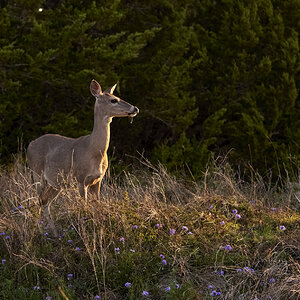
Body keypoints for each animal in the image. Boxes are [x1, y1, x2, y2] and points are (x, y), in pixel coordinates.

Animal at [26, 79, 139, 234]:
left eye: (117, 96)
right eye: (114, 100)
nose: (135, 108)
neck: (93, 151)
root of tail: (30, 145)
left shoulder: (98, 180)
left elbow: (97, 206)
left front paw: (98, 227)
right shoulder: (80, 179)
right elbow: (84, 208)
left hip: (56, 183)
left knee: (45, 202)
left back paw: (53, 232)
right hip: (37, 173)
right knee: (37, 200)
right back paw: (38, 230)